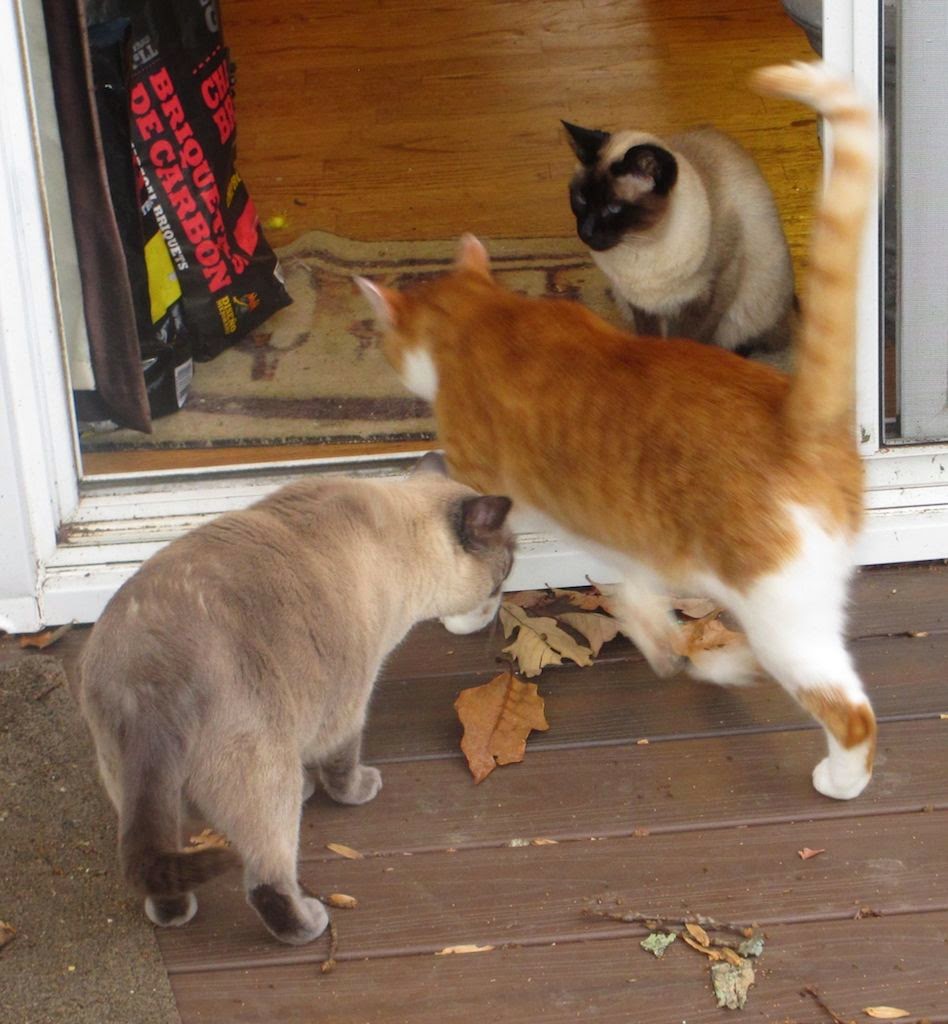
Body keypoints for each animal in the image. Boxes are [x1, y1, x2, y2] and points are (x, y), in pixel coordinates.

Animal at [74, 455, 513, 944]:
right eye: (506, 572)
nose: (496, 611)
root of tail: (153, 676)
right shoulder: (347, 709)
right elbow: (340, 768)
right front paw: (358, 789)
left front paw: (311, 787)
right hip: (266, 780)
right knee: (268, 880)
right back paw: (309, 924)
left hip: (136, 789)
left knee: (160, 862)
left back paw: (174, 914)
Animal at [562, 115, 795, 356]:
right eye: (581, 199)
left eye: (613, 208)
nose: (585, 232)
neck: (642, 244)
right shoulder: (641, 303)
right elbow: (649, 336)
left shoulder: (710, 293)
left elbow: (691, 339)